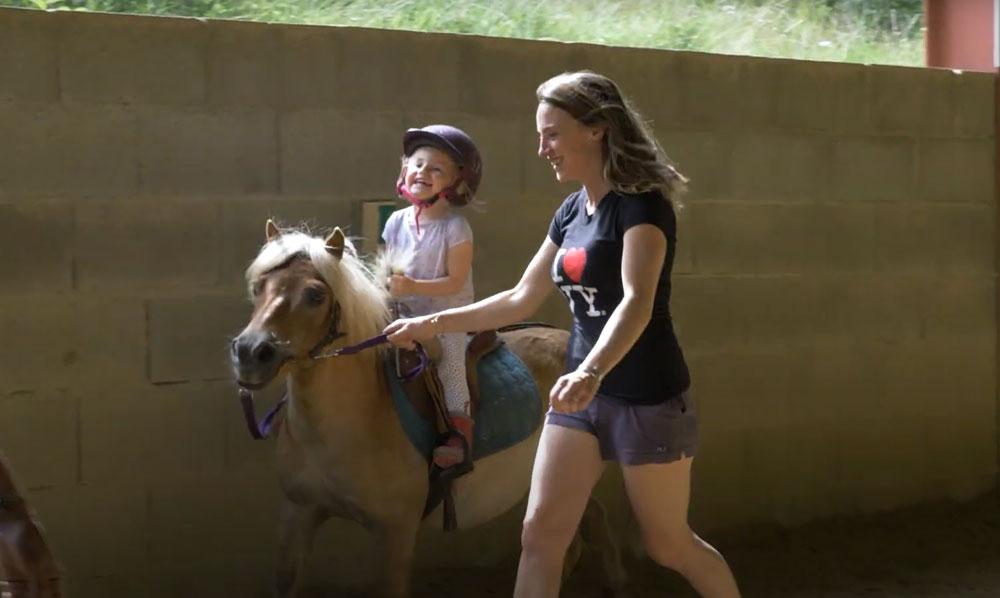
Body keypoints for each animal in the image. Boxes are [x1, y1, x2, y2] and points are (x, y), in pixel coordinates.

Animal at [233, 223, 624, 596]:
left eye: (315, 295)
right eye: (258, 287)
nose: (250, 352)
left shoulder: (396, 534)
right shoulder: (298, 512)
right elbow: (286, 580)